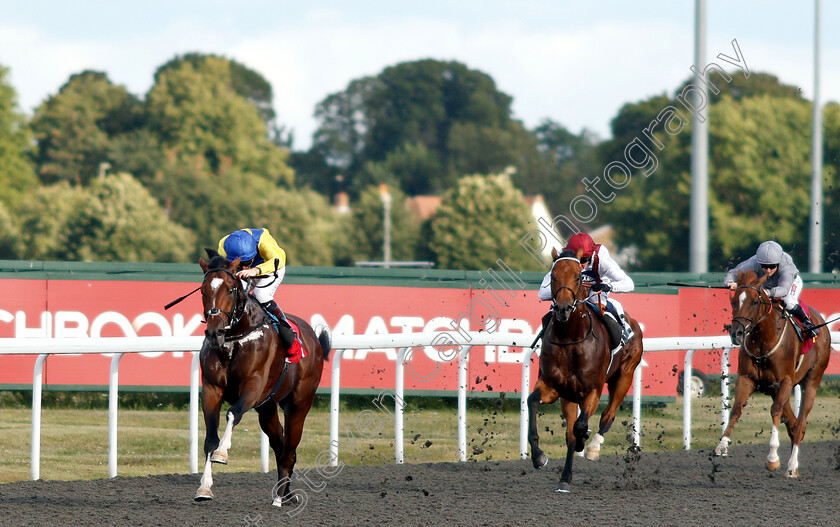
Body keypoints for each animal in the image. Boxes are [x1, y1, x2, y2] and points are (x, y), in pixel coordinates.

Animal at [196, 254, 328, 510]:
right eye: (203, 291)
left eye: (231, 289)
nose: (215, 333)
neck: (235, 338)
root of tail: (312, 336)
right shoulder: (211, 389)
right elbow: (210, 440)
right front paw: (204, 488)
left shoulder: (253, 385)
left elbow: (232, 413)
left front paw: (222, 453)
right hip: (267, 408)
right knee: (281, 445)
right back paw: (286, 492)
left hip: (299, 404)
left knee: (289, 449)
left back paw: (279, 497)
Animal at [528, 250, 648, 492]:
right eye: (553, 276)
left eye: (578, 277)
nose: (563, 309)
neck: (570, 339)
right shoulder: (552, 387)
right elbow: (533, 401)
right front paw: (538, 457)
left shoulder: (592, 390)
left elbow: (582, 425)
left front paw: (585, 441)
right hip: (568, 396)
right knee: (570, 433)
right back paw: (565, 477)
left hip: (624, 376)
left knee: (607, 415)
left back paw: (593, 447)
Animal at [716, 270, 832, 476]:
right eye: (734, 300)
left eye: (755, 301)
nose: (736, 333)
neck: (763, 340)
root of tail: (822, 324)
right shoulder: (747, 379)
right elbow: (737, 409)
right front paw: (722, 444)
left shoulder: (785, 381)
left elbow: (775, 411)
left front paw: (772, 458)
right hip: (773, 389)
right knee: (793, 423)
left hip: (812, 380)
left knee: (800, 423)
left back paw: (792, 466)